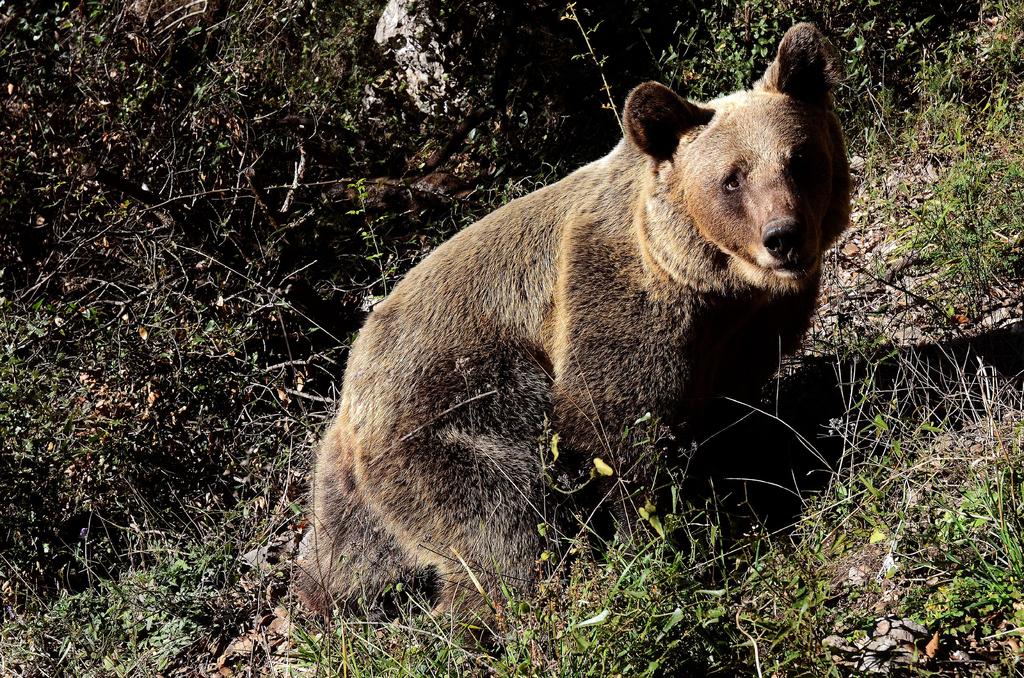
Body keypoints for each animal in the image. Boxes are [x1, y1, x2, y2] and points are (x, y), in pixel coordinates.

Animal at [295, 22, 850, 617]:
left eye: (799, 158)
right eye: (732, 178)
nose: (783, 236)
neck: (715, 286)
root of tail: (349, 397)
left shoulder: (746, 333)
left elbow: (728, 413)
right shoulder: (611, 296)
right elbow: (615, 426)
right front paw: (666, 538)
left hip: (352, 497)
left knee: (350, 553)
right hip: (451, 418)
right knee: (502, 527)